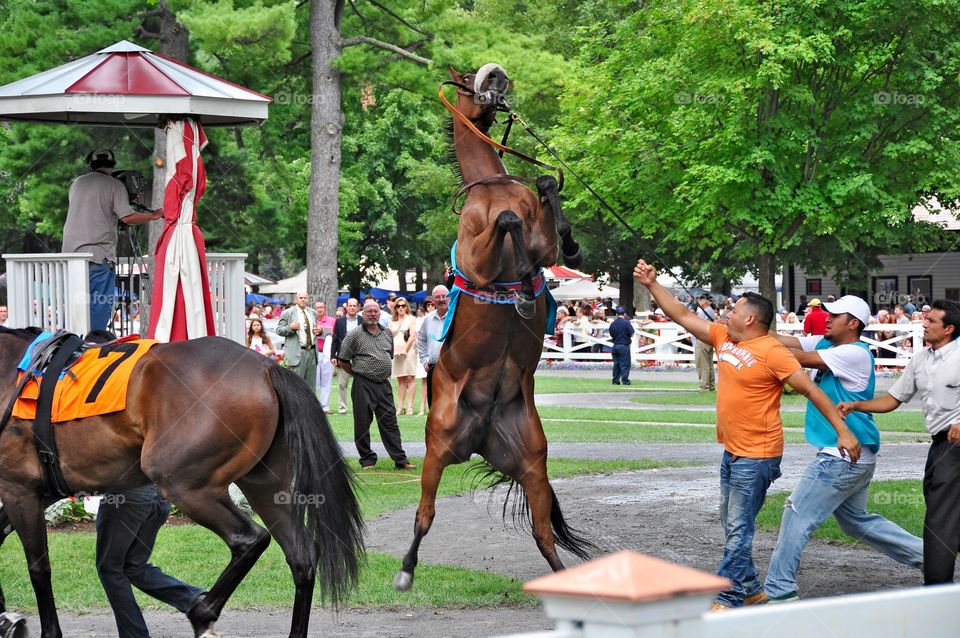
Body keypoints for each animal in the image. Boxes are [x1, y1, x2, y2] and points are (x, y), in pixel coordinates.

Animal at [0, 330, 364, 638]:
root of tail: (266, 368)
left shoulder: (20, 491)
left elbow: (39, 568)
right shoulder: (37, 493)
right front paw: (6, 617)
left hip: (184, 483)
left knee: (250, 538)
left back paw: (202, 612)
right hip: (266, 486)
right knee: (301, 557)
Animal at [392, 66, 592, 596]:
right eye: (466, 79)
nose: (497, 77)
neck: (493, 185)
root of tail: (481, 433)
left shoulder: (541, 240)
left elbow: (545, 196)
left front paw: (566, 246)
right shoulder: (479, 258)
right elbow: (506, 224)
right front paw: (520, 285)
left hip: (533, 461)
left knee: (544, 533)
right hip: (438, 448)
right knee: (423, 515)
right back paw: (405, 569)